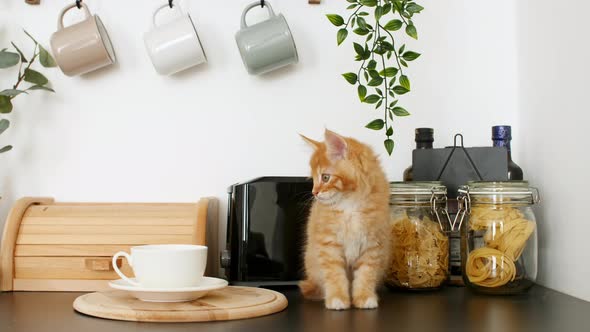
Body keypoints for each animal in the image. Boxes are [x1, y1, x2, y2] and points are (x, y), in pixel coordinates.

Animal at [300, 129, 394, 308]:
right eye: (313, 179)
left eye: (325, 177)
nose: (314, 192)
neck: (350, 206)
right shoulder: (328, 245)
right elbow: (335, 275)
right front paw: (337, 298)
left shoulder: (373, 245)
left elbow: (366, 275)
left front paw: (364, 297)